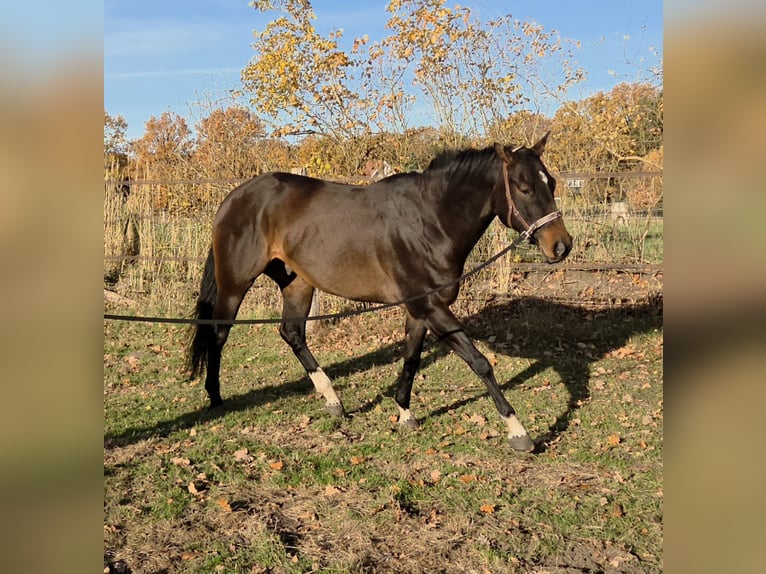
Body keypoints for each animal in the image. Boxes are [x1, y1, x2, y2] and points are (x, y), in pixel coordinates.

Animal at [187, 132, 572, 452]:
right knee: (218, 333)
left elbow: (411, 358)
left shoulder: (420, 310)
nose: (561, 246)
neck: (429, 220)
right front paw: (519, 432)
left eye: (550, 182)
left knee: (292, 333)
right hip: (235, 282)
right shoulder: (431, 307)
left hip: (297, 283)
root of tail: (234, 197)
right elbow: (480, 362)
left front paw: (404, 414)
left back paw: (333, 400)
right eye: (523, 187)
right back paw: (216, 398)